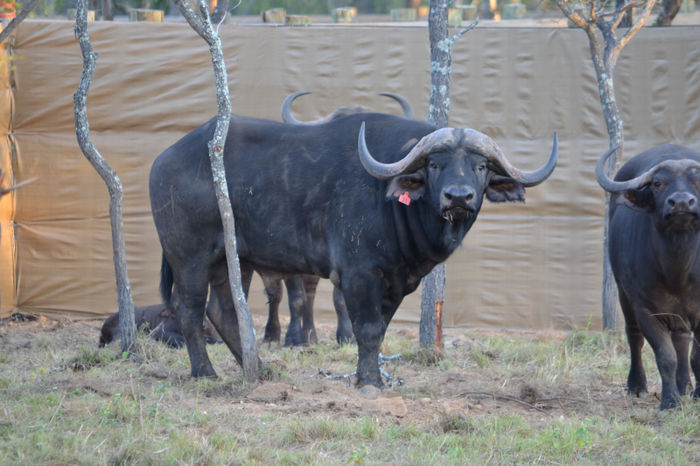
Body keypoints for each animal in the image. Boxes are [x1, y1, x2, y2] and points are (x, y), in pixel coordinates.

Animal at [149, 102, 558, 388]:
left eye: (480, 166)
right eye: (435, 164)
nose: (459, 197)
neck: (392, 202)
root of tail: (164, 160)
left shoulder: (397, 282)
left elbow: (379, 330)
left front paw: (368, 374)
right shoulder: (359, 273)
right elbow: (367, 328)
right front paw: (370, 383)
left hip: (231, 260)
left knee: (222, 311)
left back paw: (259, 370)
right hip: (190, 255)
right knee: (189, 310)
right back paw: (205, 372)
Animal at [595, 144, 700, 409]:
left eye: (699, 180)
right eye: (658, 183)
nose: (681, 202)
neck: (677, 271)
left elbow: (696, 356)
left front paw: (696, 394)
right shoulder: (646, 309)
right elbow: (665, 356)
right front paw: (670, 402)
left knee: (682, 338)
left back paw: (685, 385)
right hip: (622, 292)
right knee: (634, 336)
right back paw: (637, 385)